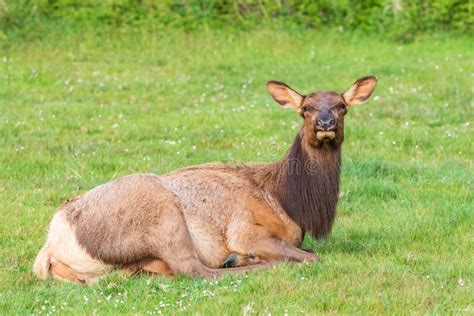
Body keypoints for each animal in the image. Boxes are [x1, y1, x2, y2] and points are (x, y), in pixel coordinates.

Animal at [33, 76, 378, 284]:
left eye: (342, 106)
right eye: (305, 108)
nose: (325, 122)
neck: (291, 204)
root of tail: (51, 245)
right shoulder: (245, 229)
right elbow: (312, 255)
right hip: (163, 215)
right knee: (195, 270)